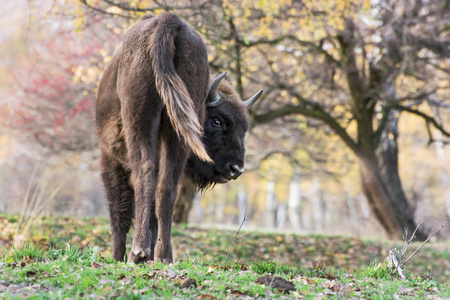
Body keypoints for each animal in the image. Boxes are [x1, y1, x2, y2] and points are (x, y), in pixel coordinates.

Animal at [96, 12, 262, 264]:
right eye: (217, 121)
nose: (236, 169)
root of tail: (169, 21)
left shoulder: (109, 157)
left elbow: (119, 213)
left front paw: (117, 257)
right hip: (178, 131)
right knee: (166, 186)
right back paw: (164, 256)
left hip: (139, 120)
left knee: (144, 173)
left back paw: (139, 253)